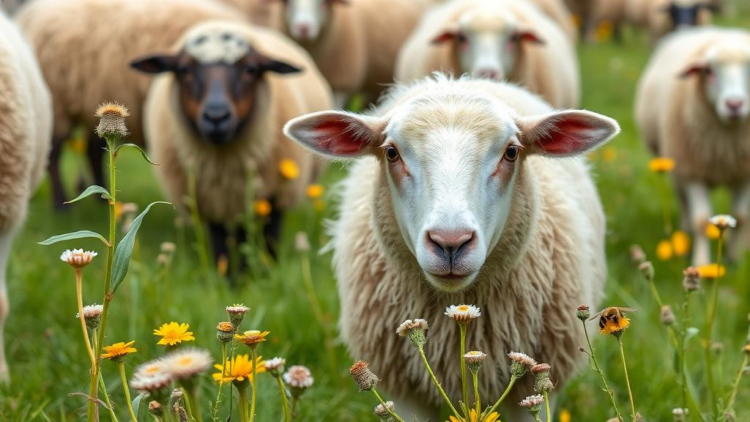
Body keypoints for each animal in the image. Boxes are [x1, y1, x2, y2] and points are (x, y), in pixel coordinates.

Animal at [14, 0, 244, 208]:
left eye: (247, 70)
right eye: (185, 70)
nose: (217, 115)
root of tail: (31, 11)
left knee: (92, 151)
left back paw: (102, 200)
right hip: (56, 107)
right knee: (53, 154)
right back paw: (62, 206)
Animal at [131, 20, 332, 268]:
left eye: (250, 69)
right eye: (184, 69)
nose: (216, 116)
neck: (224, 167)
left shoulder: (273, 194)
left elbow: (268, 239)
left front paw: (263, 271)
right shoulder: (210, 199)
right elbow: (221, 246)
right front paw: (228, 275)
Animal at [635, 27, 750, 265]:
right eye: (708, 71)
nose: (734, 104)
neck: (725, 148)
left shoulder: (744, 174)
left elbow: (742, 217)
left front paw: (736, 258)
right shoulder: (692, 172)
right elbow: (700, 220)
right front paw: (701, 264)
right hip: (673, 166)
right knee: (683, 201)